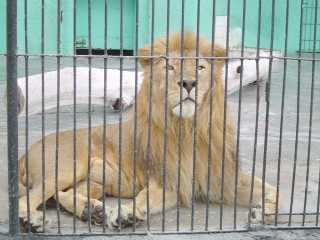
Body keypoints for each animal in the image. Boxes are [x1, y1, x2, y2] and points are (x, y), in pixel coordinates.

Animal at [18, 32, 278, 232]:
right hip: (67, 167)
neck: (189, 127)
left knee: (61, 194)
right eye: (170, 67)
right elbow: (143, 198)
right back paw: (32, 220)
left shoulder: (219, 177)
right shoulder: (169, 180)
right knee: (30, 196)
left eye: (200, 67)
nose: (188, 83)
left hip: (95, 180)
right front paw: (126, 214)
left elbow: (274, 190)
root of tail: (28, 150)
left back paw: (91, 211)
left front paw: (265, 212)